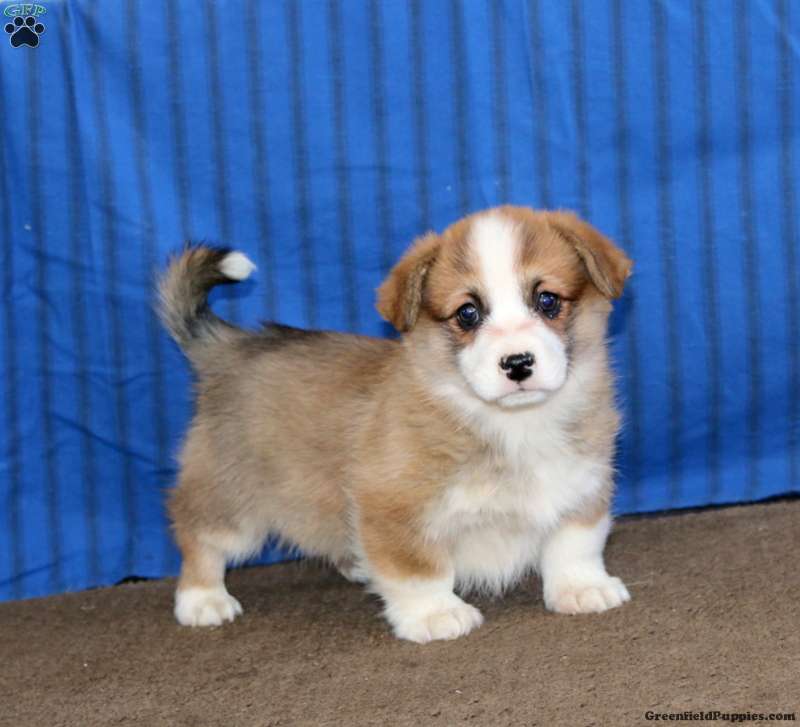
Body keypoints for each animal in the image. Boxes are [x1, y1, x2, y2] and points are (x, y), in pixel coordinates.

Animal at [158, 205, 633, 643]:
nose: (517, 364)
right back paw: (203, 600)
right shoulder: (392, 507)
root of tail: (229, 347)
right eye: (467, 313)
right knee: (196, 533)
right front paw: (436, 615)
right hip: (231, 503)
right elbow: (418, 569)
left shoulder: (583, 487)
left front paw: (581, 589)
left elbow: (574, 544)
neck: (513, 424)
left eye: (548, 300)